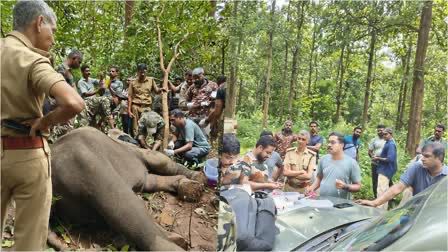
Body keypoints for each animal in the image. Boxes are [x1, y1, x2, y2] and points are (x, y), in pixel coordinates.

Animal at [48, 128, 206, 250]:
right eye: (126, 136)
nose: (135, 140)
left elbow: (151, 179)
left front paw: (192, 186)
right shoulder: (133, 152)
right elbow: (159, 162)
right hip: (91, 168)